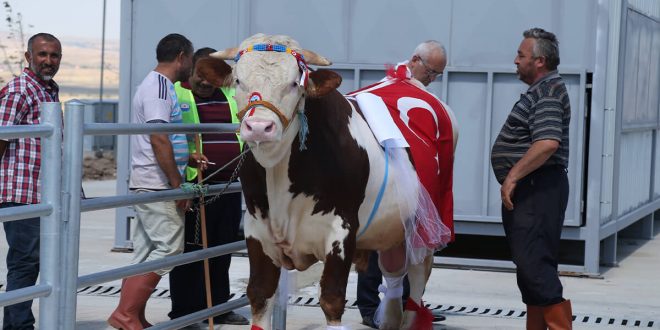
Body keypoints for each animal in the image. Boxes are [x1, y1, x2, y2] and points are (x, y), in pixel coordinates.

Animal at [211, 34, 454, 328]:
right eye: (238, 80)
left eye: (295, 83)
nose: (259, 127)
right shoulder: (257, 231)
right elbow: (259, 294)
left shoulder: (342, 232)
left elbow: (331, 299)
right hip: (392, 229)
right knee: (394, 280)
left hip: (426, 228)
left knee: (416, 285)